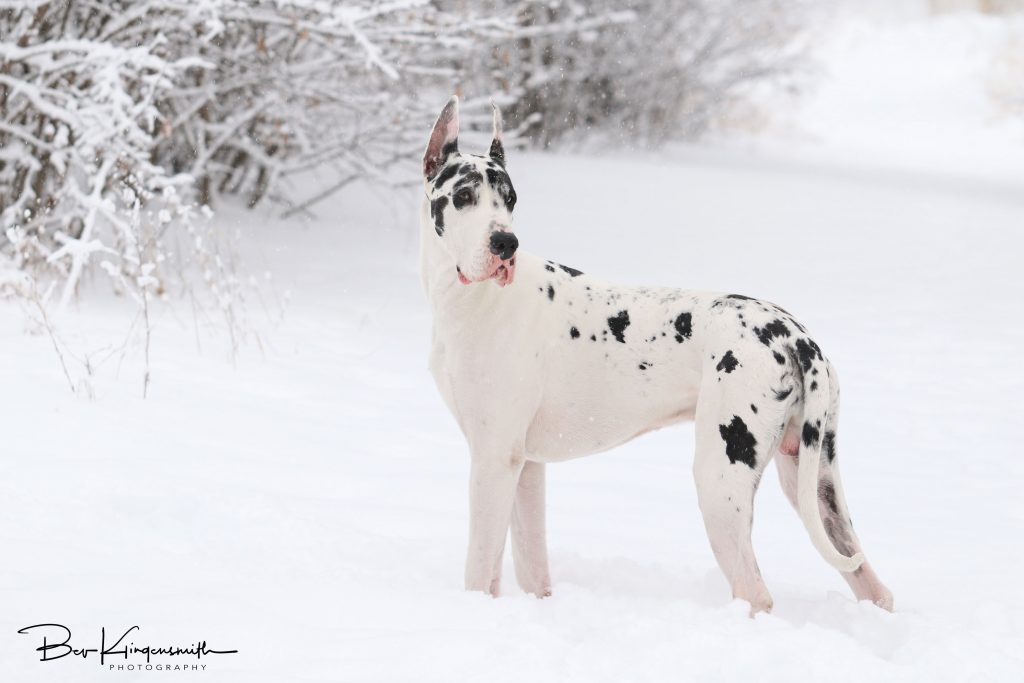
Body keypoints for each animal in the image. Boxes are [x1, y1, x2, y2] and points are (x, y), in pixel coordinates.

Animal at [419, 96, 892, 614]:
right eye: (464, 196)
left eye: (510, 200)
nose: (505, 242)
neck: (474, 299)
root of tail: (794, 335)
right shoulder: (526, 467)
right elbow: (530, 567)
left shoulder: (492, 459)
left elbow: (478, 568)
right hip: (816, 480)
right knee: (873, 584)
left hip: (719, 479)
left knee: (756, 593)